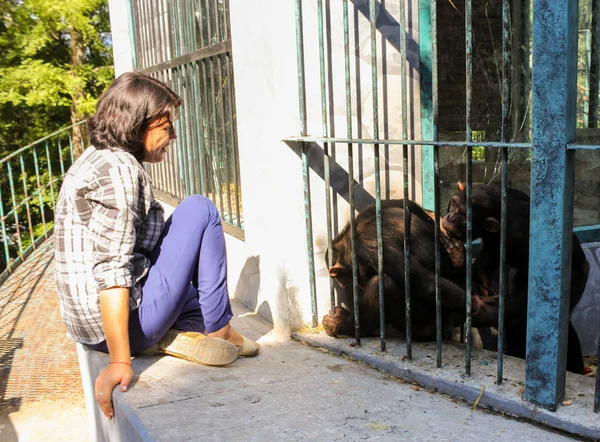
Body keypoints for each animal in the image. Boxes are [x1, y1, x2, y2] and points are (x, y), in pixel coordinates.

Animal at [324, 199, 496, 340]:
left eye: (342, 278)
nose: (345, 283)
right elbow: (409, 204)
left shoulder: (372, 247)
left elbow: (425, 283)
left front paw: (484, 311)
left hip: (425, 325)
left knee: (384, 283)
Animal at [442, 183, 588, 372]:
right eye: (454, 204)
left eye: (465, 216)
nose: (451, 217)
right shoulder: (494, 237)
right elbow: (486, 260)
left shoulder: (517, 235)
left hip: (576, 278)